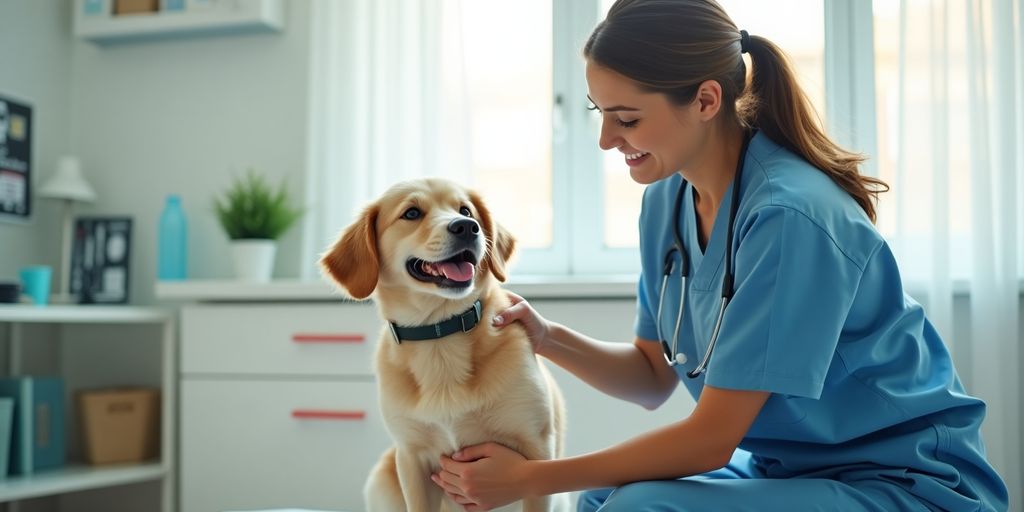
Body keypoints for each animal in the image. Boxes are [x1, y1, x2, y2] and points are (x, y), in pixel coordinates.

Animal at [319, 177, 569, 512]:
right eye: (411, 213)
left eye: (465, 210)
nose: (467, 227)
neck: (440, 337)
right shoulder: (411, 458)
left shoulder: (536, 451)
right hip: (381, 479)